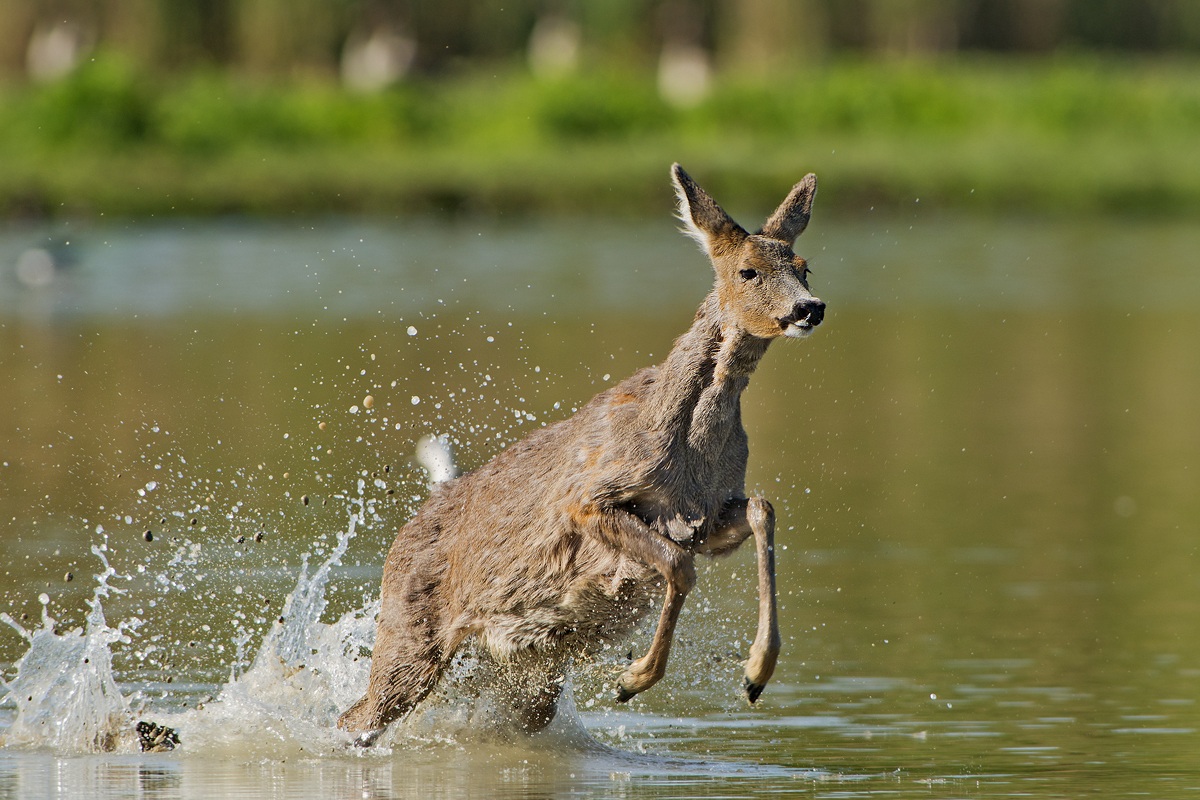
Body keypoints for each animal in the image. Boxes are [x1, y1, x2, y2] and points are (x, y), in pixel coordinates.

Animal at [338, 164, 825, 746]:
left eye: (804, 267)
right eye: (748, 271)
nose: (809, 308)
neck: (691, 454)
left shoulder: (706, 517)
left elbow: (761, 510)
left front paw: (755, 674)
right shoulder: (590, 499)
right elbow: (677, 565)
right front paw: (632, 679)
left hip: (523, 675)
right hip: (409, 636)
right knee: (356, 715)